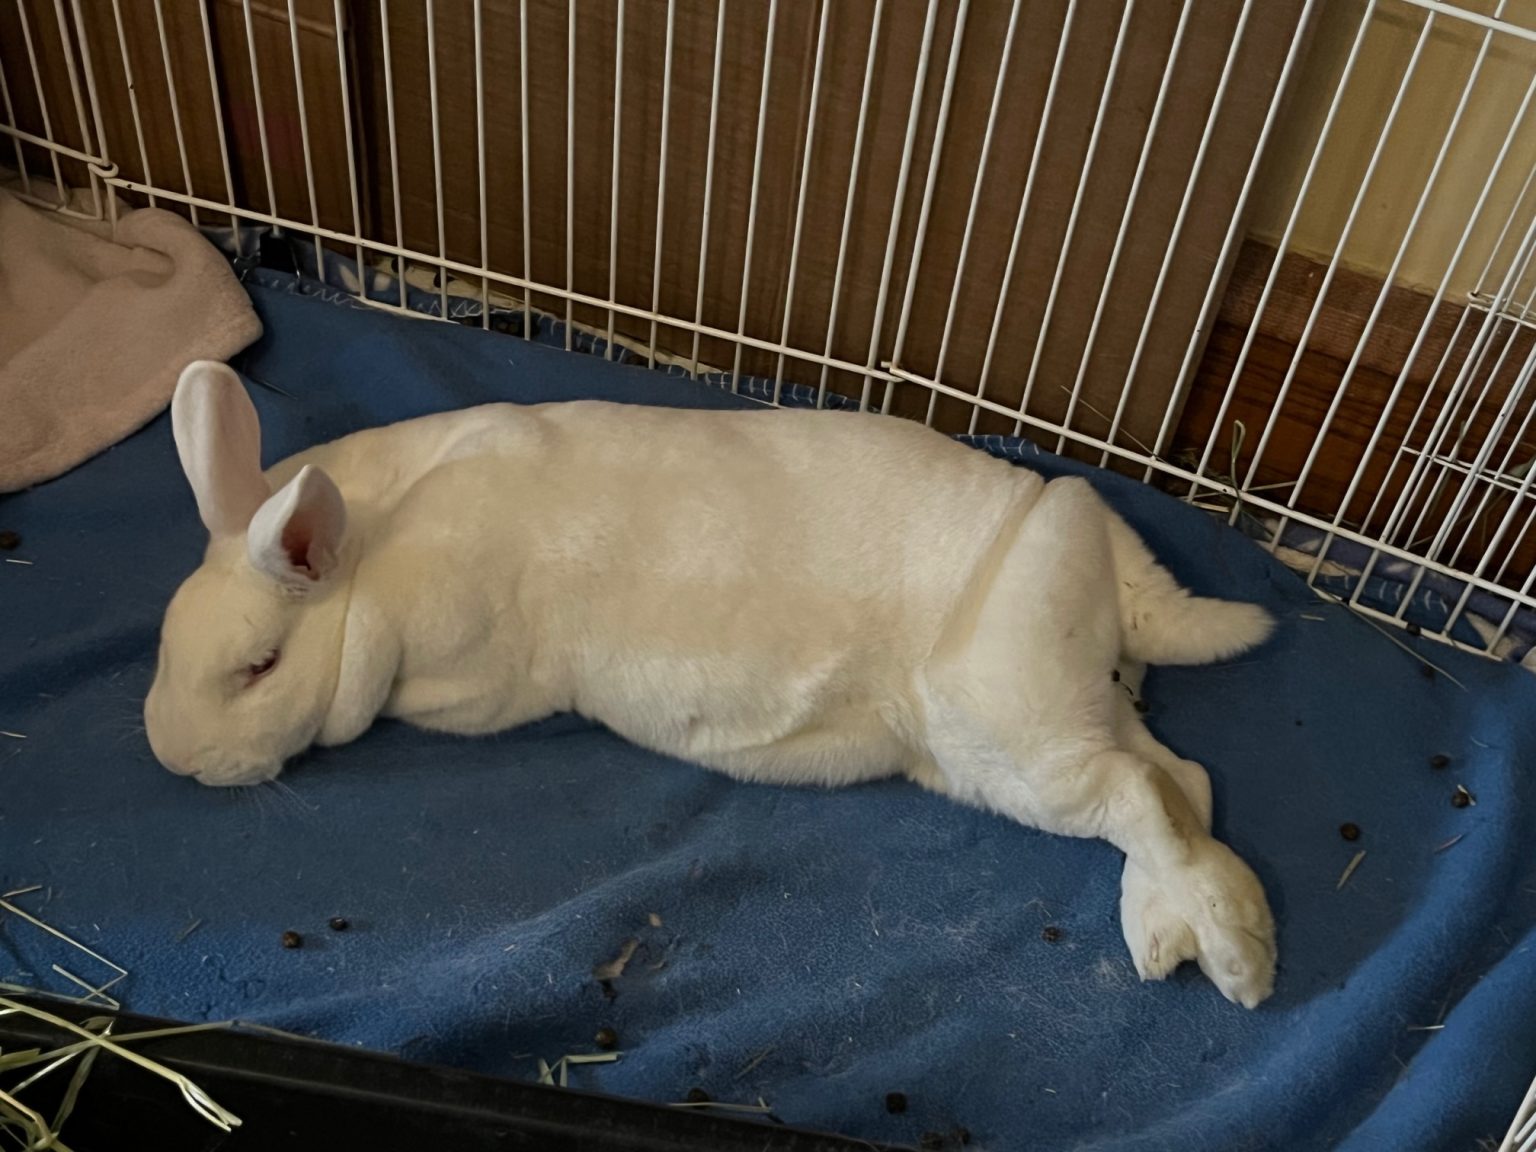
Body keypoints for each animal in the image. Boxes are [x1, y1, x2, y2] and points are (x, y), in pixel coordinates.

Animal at [146, 360, 1278, 1007]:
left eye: (258, 668)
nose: (174, 755)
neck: (371, 554)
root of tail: (1093, 543)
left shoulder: (472, 665)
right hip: (1028, 737)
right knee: (1181, 784)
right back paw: (1181, 933)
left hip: (1017, 731)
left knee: (1140, 794)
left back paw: (1241, 966)